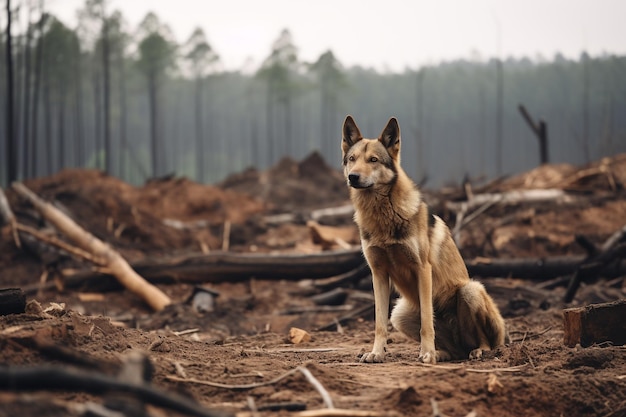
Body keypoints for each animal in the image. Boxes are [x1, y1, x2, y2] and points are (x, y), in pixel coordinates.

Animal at [342, 115, 508, 362]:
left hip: (470, 290)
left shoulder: (422, 269)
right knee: (454, 350)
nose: (353, 177)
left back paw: (476, 350)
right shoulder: (378, 274)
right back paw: (443, 353)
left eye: (373, 160)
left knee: (481, 341)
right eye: (352, 159)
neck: (384, 215)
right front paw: (376, 353)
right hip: (399, 313)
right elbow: (379, 324)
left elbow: (427, 323)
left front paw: (426, 353)